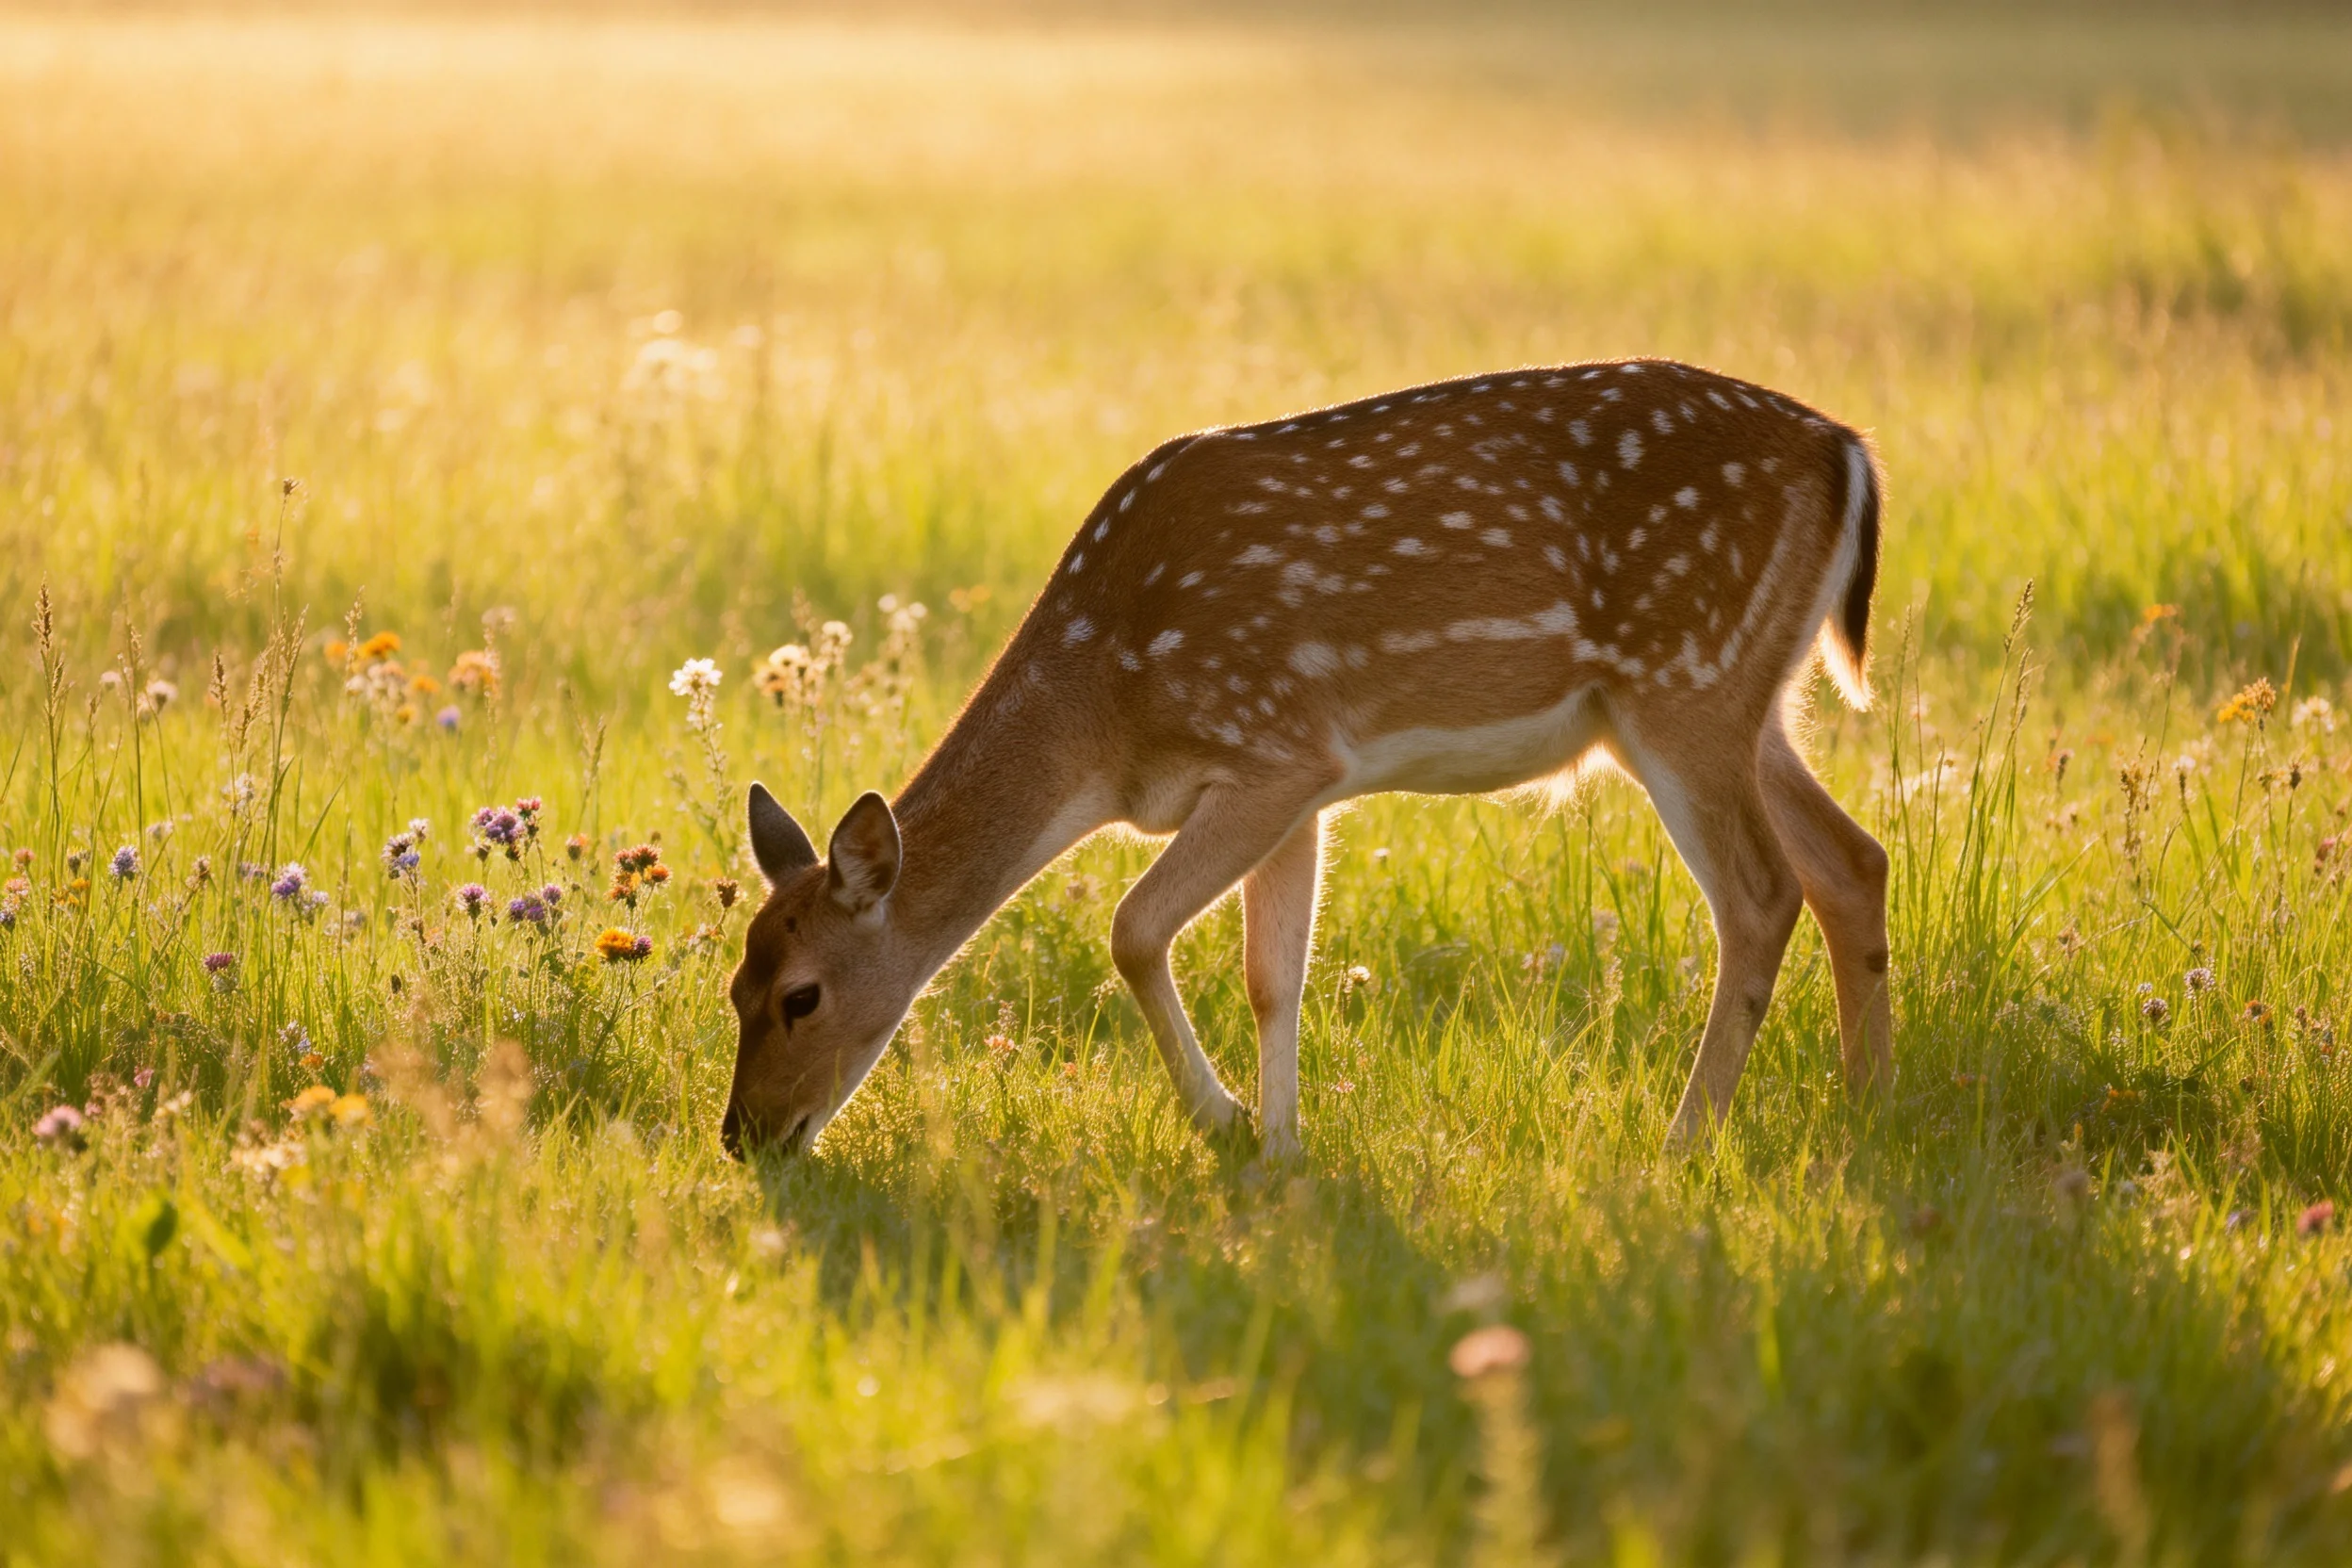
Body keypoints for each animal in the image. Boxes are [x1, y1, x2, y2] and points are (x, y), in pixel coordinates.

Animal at [722, 358, 1892, 1162]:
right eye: (733, 988)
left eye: (801, 996)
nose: (743, 1136)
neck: (1103, 711)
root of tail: (1849, 453)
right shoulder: (1300, 783)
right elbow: (1273, 970)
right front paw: (1283, 1146)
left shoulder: (1275, 748)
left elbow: (1134, 927)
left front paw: (1228, 1119)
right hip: (1750, 699)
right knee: (1853, 858)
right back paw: (1864, 1104)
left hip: (1683, 680)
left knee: (1761, 891)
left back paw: (1683, 1139)